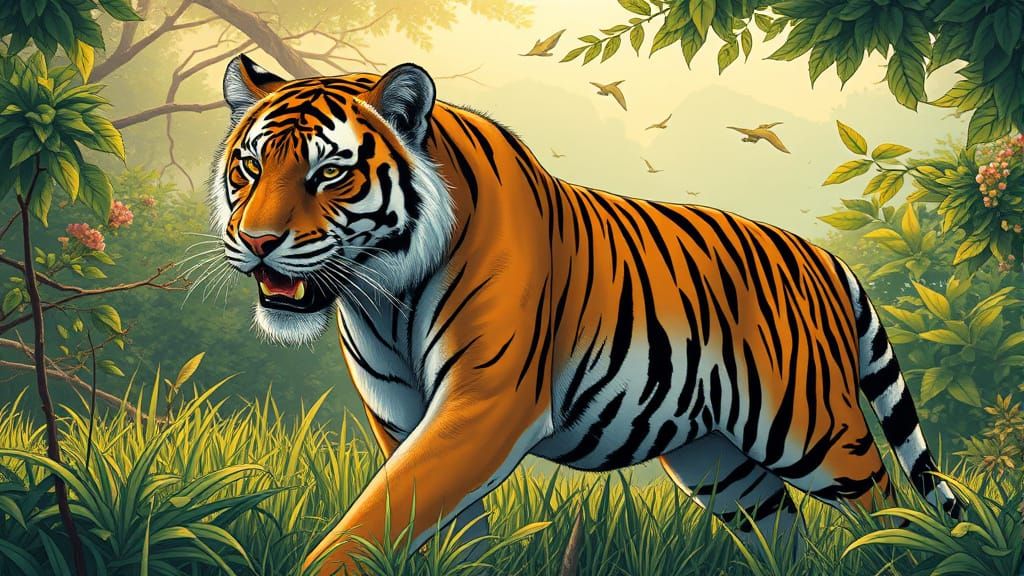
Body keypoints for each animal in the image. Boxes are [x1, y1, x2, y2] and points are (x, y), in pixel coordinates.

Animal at [210, 54, 963, 574]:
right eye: (248, 167)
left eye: (329, 173)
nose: (256, 240)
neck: (381, 296)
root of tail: (823, 257)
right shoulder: (402, 418)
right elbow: (434, 522)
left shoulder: (485, 404)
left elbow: (371, 520)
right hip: (719, 462)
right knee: (782, 531)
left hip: (817, 432)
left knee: (892, 512)